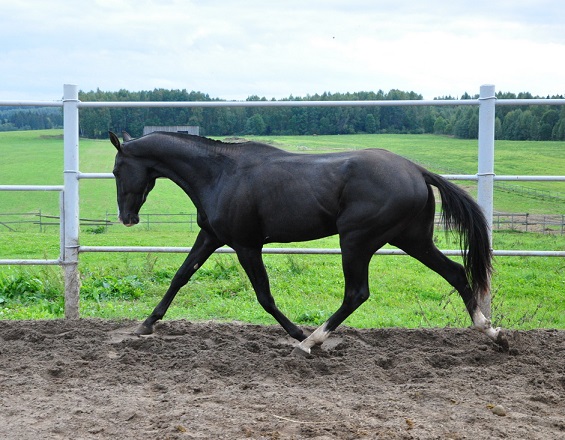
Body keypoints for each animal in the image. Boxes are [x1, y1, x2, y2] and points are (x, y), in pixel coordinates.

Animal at [109, 131, 508, 354]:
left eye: (115, 169)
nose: (127, 218)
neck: (221, 174)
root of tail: (416, 170)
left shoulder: (246, 245)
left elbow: (264, 296)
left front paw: (295, 332)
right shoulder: (211, 236)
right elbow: (180, 276)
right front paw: (146, 324)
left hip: (357, 241)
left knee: (356, 293)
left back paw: (310, 341)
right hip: (411, 238)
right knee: (455, 272)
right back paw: (493, 333)